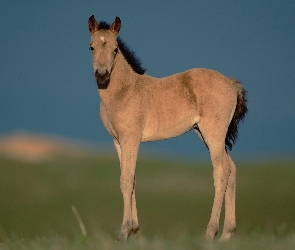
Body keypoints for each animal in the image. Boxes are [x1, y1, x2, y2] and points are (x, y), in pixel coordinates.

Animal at [88, 16, 247, 242]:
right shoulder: (118, 141)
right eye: (91, 47)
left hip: (213, 134)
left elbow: (126, 179)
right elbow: (130, 178)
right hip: (205, 134)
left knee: (221, 173)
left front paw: (124, 231)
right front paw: (133, 229)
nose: (102, 76)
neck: (125, 91)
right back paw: (227, 234)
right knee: (231, 169)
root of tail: (232, 84)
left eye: (115, 49)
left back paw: (210, 233)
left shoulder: (131, 139)